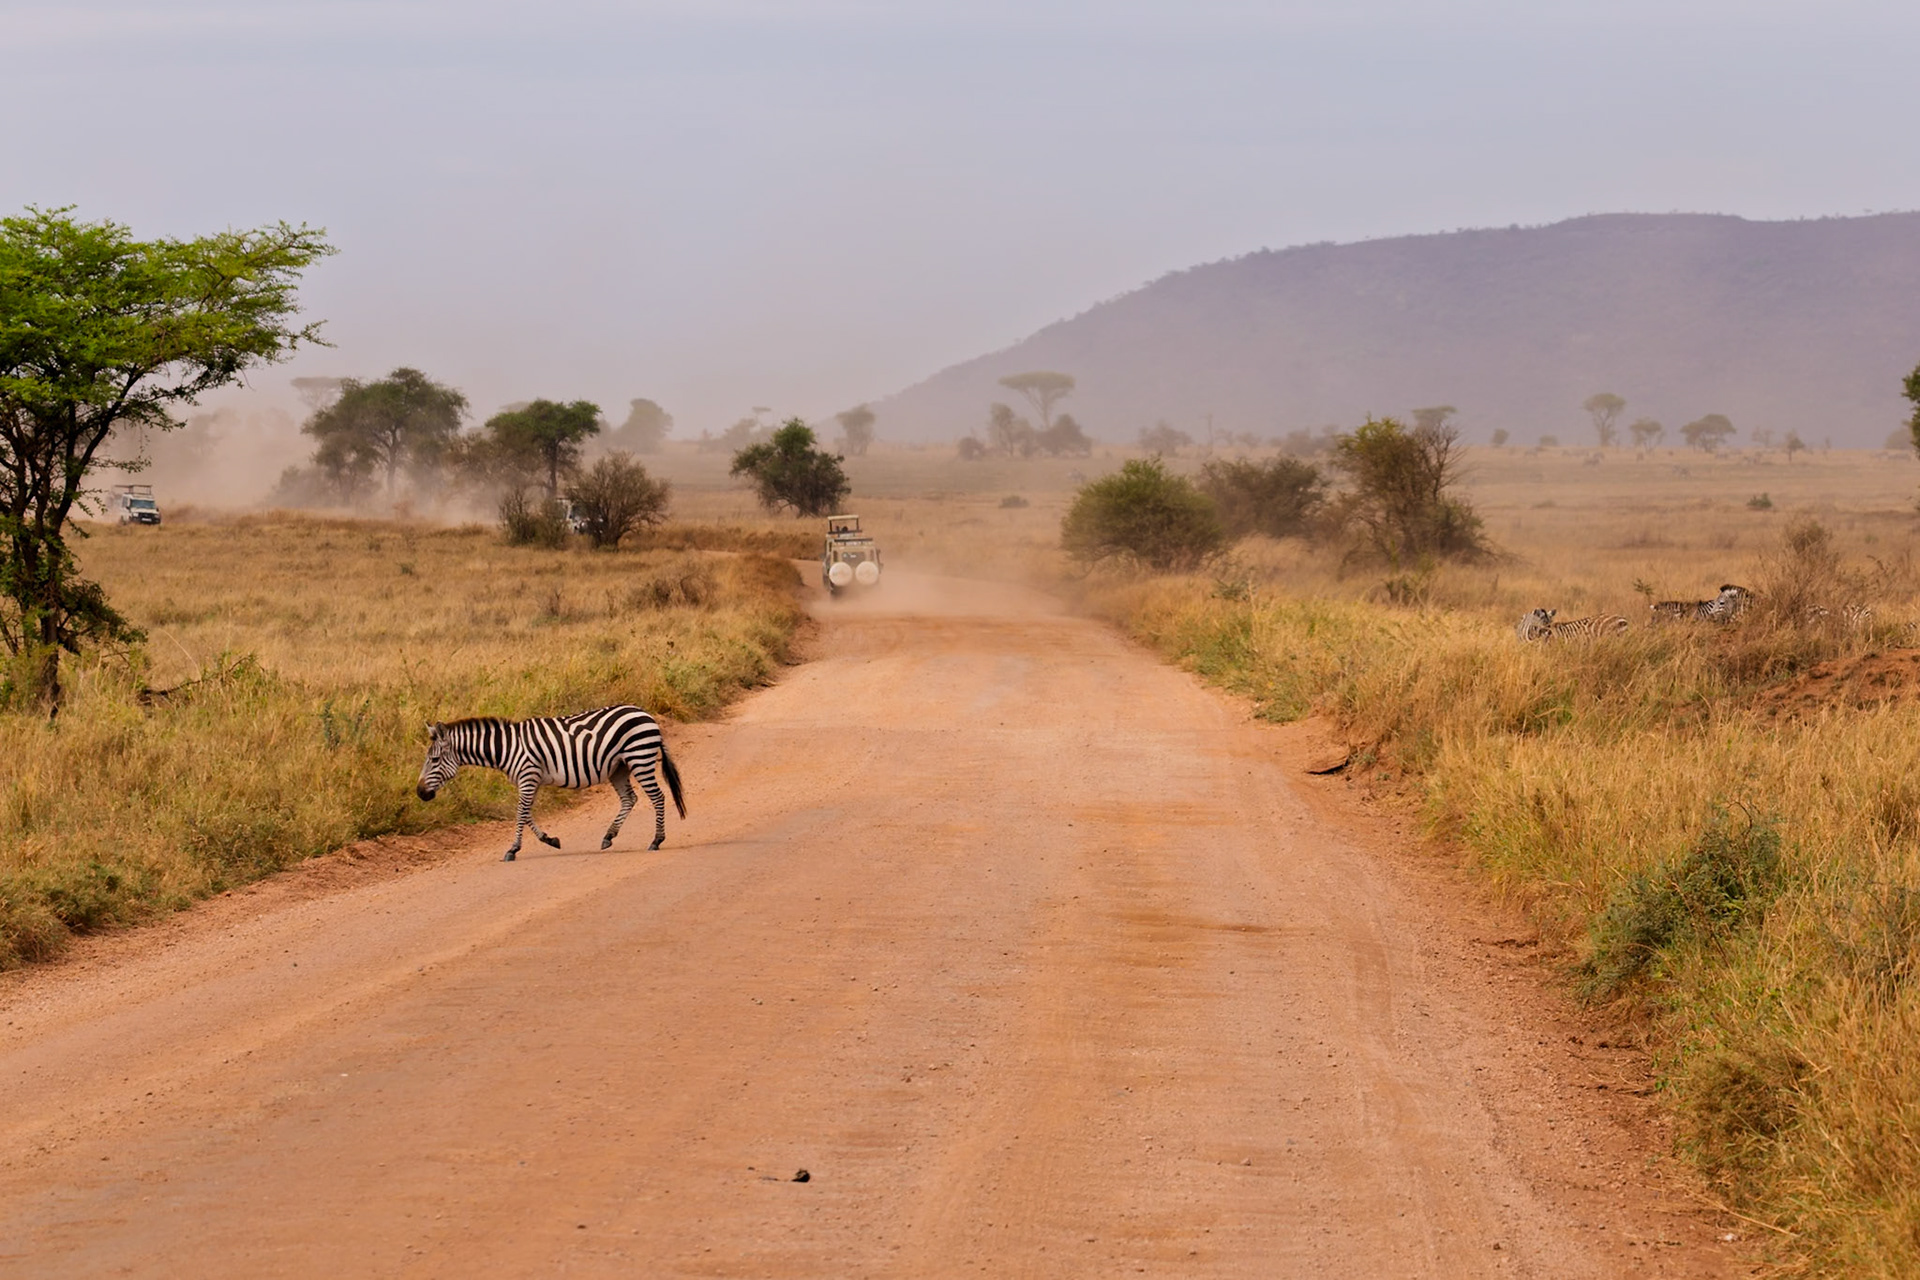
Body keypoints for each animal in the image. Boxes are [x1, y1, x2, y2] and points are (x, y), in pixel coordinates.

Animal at [415, 705, 686, 862]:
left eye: (434, 760)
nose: (420, 793)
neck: (507, 748)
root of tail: (645, 713)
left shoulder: (528, 775)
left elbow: (520, 813)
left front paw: (512, 849)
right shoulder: (530, 779)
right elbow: (527, 814)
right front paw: (550, 840)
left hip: (639, 757)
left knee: (657, 797)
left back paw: (656, 840)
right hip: (619, 767)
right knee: (630, 799)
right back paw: (609, 836)